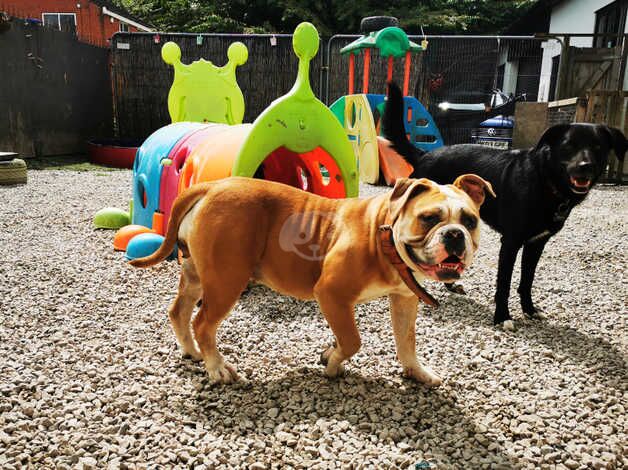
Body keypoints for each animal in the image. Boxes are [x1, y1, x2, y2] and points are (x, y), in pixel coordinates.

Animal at [382, 81, 624, 328]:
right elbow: (505, 283)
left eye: (598, 147)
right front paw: (502, 317)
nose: (585, 166)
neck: (544, 179)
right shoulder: (510, 242)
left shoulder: (536, 243)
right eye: (568, 145)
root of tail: (424, 155)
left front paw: (530, 310)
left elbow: (527, 280)